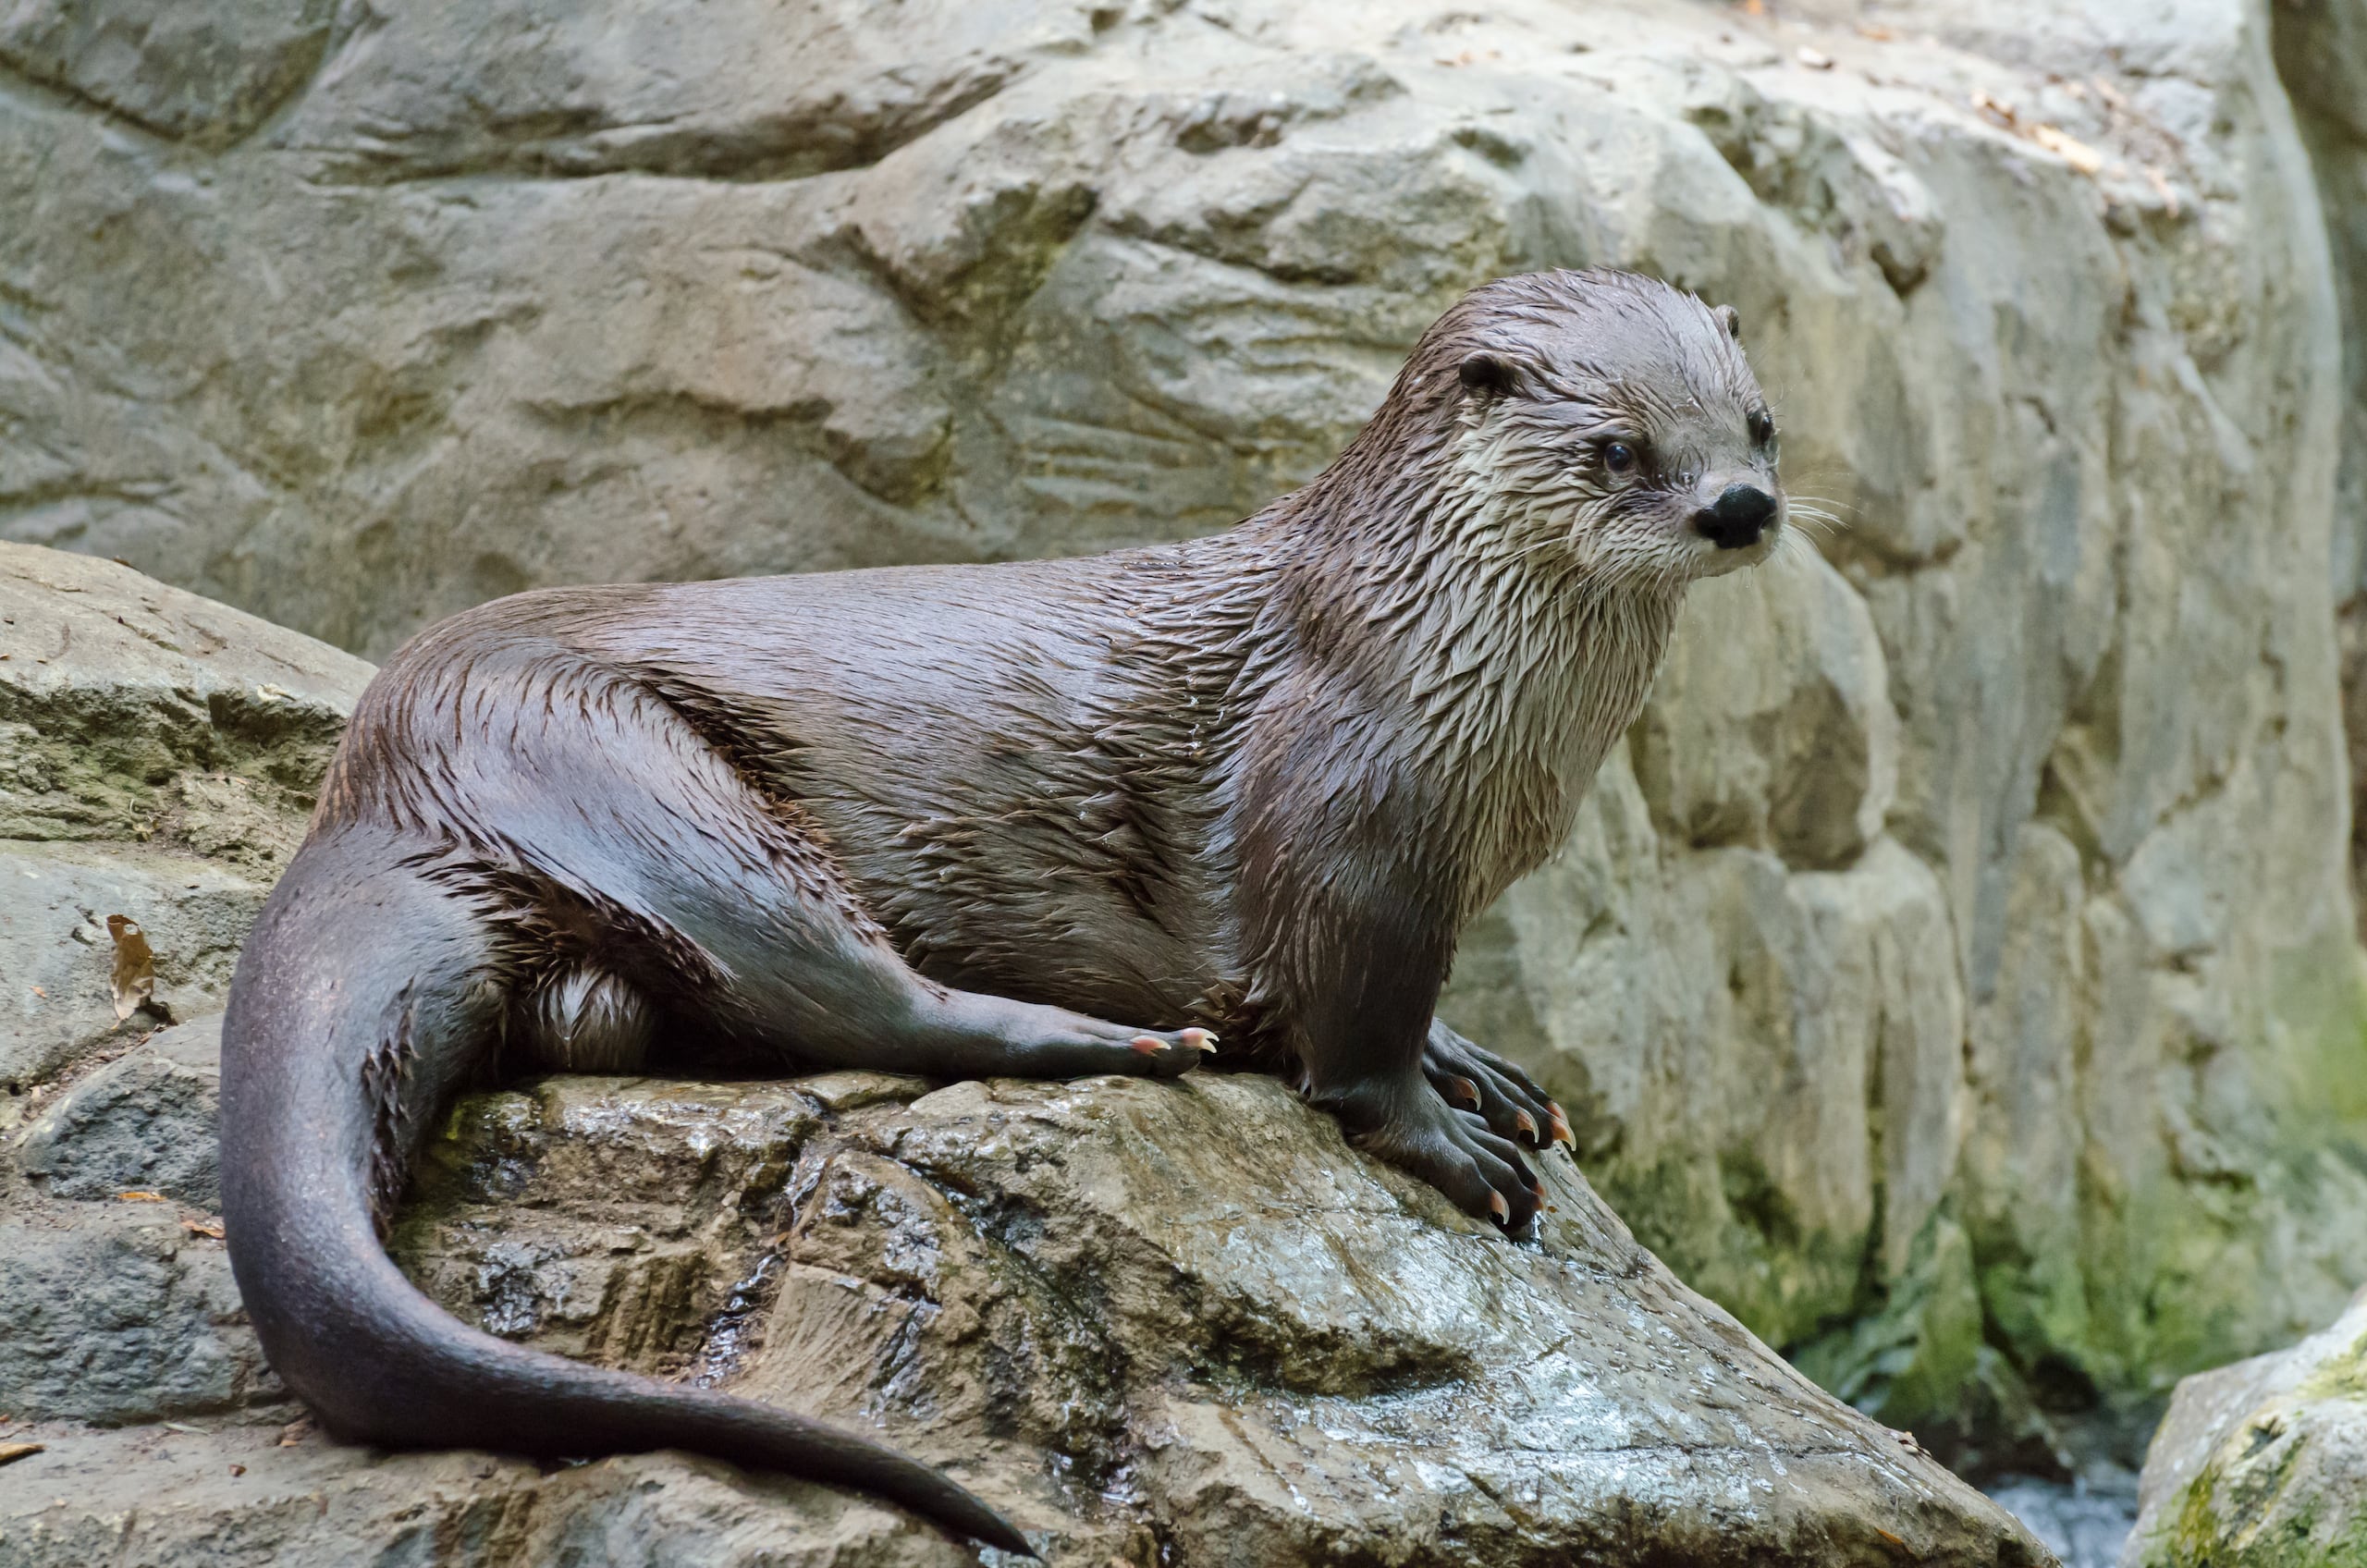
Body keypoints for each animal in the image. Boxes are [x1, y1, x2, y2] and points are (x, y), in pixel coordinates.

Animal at [220, 268, 1786, 1555]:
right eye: (1619, 449)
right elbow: (1352, 1049)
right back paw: (1117, 1041)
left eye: (1760, 423)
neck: (1438, 654)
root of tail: (379, 788)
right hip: (632, 782)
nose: (1741, 506)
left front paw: (1481, 1070)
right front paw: (1450, 1141)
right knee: (858, 999)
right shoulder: (1354, 828)